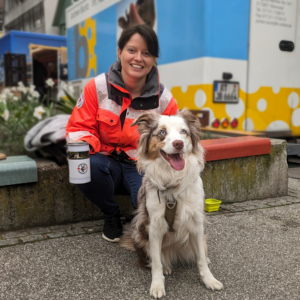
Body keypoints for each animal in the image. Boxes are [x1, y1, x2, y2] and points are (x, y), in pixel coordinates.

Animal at [119, 109, 223, 298]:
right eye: (162, 132)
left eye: (183, 132)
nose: (178, 144)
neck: (173, 183)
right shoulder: (154, 226)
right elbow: (156, 262)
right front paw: (157, 285)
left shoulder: (196, 223)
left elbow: (200, 259)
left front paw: (209, 280)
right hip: (140, 234)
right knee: (155, 259)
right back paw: (166, 267)